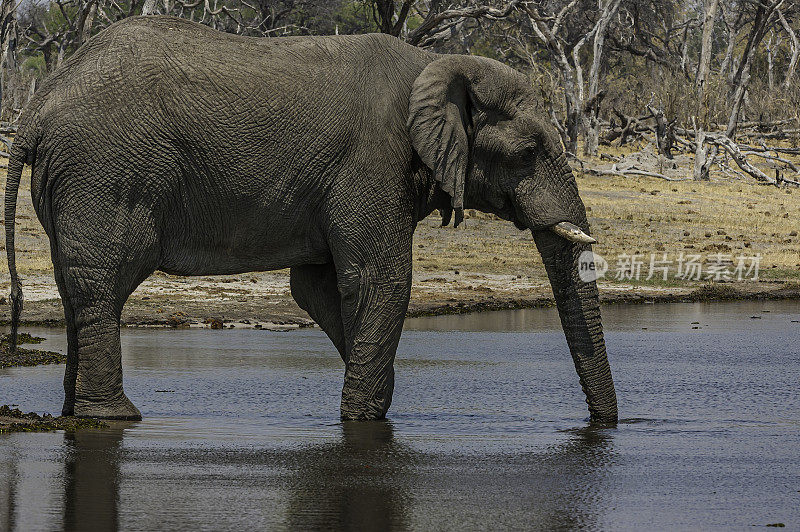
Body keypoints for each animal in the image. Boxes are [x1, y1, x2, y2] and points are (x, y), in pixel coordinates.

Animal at [4, 15, 620, 424]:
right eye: (529, 151)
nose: (605, 427)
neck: (436, 67)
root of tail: (37, 109)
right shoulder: (372, 161)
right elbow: (380, 281)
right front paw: (364, 419)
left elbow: (321, 287)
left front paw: (373, 404)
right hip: (104, 174)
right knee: (103, 283)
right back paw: (116, 417)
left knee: (76, 287)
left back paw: (77, 412)